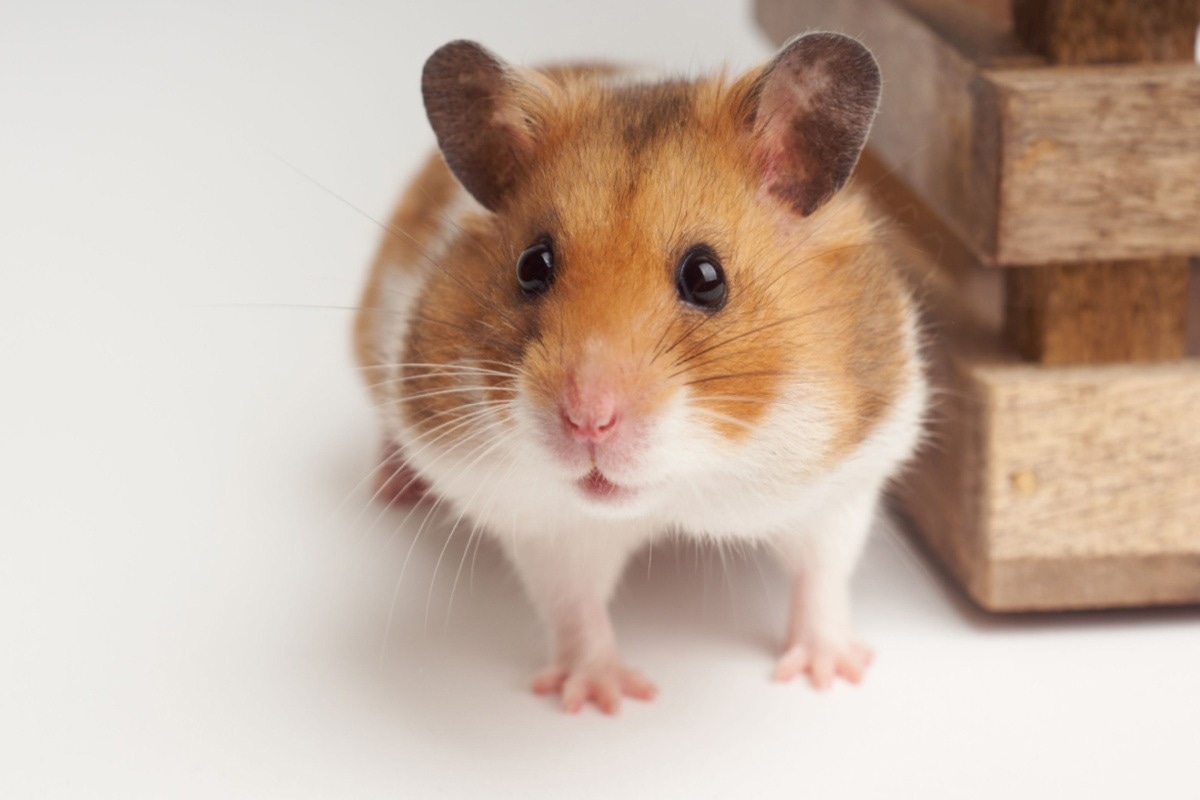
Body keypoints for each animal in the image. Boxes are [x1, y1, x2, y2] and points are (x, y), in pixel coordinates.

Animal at [353, 34, 927, 714]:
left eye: (706, 277)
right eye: (531, 265)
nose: (587, 422)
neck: (681, 489)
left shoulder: (843, 481)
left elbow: (823, 575)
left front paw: (829, 675)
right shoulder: (546, 523)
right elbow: (574, 607)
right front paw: (604, 699)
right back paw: (392, 486)